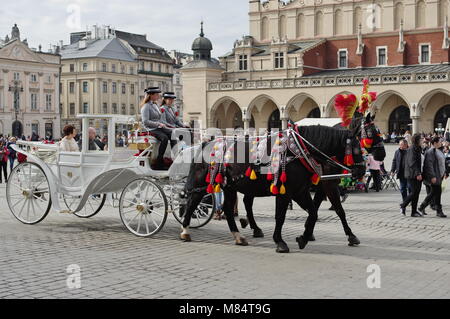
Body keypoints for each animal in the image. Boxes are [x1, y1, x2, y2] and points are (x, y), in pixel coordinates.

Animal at [181, 124, 368, 254]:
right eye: (356, 148)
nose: (361, 171)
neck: (297, 151)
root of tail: (204, 144)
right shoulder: (286, 191)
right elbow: (281, 216)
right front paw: (280, 242)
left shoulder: (301, 191)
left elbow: (314, 213)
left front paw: (304, 237)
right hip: (202, 184)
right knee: (192, 202)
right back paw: (185, 231)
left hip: (229, 186)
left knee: (228, 207)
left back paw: (239, 236)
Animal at [241, 113, 384, 248]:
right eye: (371, 133)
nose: (382, 154)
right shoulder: (328, 185)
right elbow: (337, 209)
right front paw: (350, 235)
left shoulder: (321, 187)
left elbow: (317, 207)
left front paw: (308, 232)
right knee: (248, 201)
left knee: (247, 201)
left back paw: (253, 226)